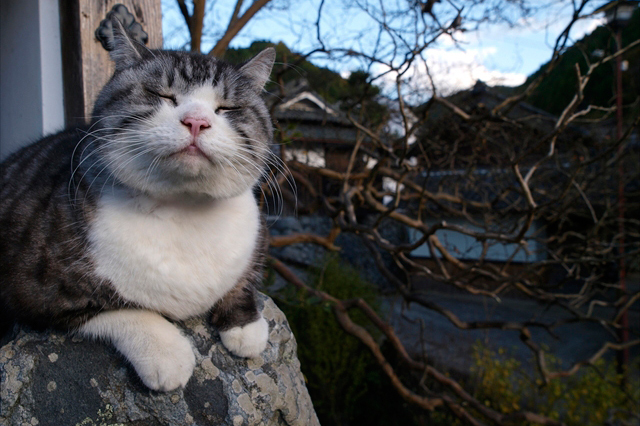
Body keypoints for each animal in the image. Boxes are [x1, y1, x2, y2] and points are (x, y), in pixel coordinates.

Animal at [0, 21, 276, 392]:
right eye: (163, 95)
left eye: (226, 108)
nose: (197, 121)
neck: (183, 211)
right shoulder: (35, 290)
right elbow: (121, 309)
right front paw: (167, 354)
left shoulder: (257, 233)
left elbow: (245, 278)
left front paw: (246, 328)